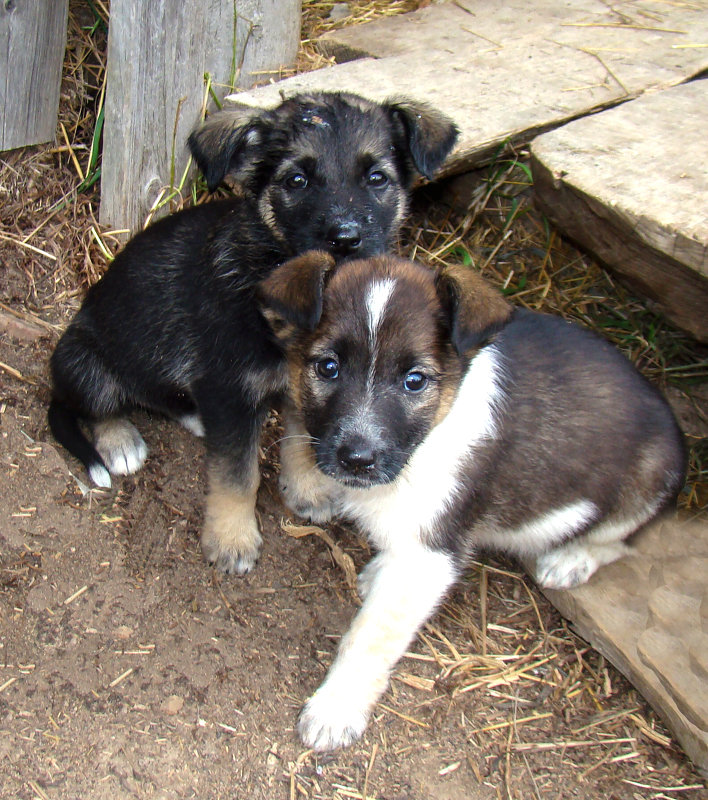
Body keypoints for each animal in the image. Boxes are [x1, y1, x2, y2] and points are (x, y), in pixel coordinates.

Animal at [49, 92, 460, 576]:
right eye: (297, 180)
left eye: (377, 178)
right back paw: (120, 440)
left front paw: (306, 490)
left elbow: (302, 442)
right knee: (98, 403)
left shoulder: (307, 385)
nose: (345, 238)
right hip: (83, 355)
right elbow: (237, 476)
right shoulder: (230, 387)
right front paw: (231, 539)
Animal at [260, 255, 684, 752]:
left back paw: (571, 559)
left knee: (618, 538)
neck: (431, 433)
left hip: (646, 482)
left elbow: (369, 638)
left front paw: (336, 707)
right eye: (327, 367)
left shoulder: (430, 554)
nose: (357, 458)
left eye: (414, 381)